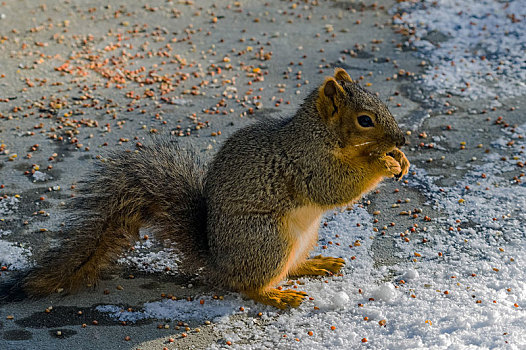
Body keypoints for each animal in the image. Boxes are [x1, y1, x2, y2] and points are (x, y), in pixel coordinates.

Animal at [0, 68, 410, 308]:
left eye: (383, 102)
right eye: (365, 120)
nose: (402, 139)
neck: (320, 134)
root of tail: (219, 264)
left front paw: (398, 159)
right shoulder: (307, 164)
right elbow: (333, 188)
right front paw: (381, 161)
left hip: (301, 238)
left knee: (288, 267)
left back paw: (314, 263)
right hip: (267, 241)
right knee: (248, 285)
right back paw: (276, 295)